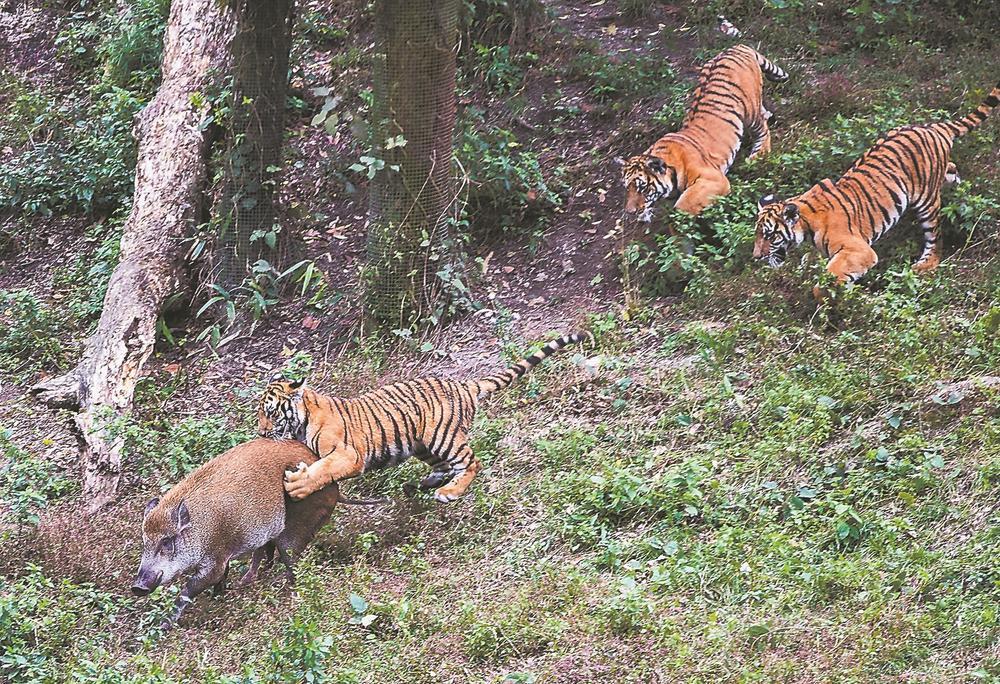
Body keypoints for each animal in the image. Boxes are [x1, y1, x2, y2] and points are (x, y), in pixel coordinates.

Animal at [256, 332, 592, 502]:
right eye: (258, 415)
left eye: (271, 413)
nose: (260, 433)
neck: (301, 420)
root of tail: (463, 384)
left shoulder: (349, 454)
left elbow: (323, 470)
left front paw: (298, 486)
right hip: (421, 444)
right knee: (447, 465)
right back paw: (425, 483)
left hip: (441, 436)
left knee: (472, 462)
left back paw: (448, 492)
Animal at [616, 44, 788, 222]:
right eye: (627, 188)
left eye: (642, 188)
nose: (630, 212)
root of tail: (736, 47)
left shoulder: (713, 179)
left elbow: (683, 205)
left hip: (750, 111)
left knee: (763, 130)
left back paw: (757, 155)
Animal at [752, 80, 996, 300]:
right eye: (757, 233)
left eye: (770, 235)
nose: (756, 257)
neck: (806, 223)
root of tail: (931, 127)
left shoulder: (858, 250)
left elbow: (828, 278)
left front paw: (829, 300)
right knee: (952, 169)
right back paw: (960, 185)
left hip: (926, 201)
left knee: (935, 237)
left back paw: (925, 264)